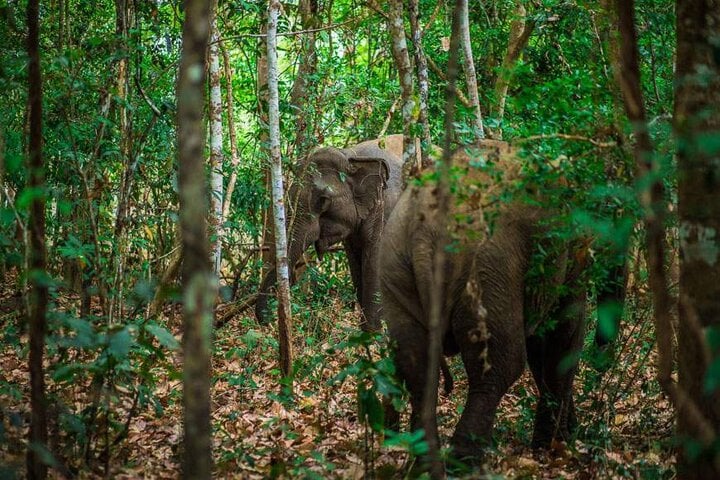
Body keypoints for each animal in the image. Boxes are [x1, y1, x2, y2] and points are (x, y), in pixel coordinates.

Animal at [256, 133, 410, 332]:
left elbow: (375, 261)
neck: (351, 156)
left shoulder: (387, 208)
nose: (268, 322)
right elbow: (355, 262)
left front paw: (373, 334)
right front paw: (365, 333)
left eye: (323, 201)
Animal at [380, 140, 588, 468]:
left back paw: (424, 466)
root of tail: (424, 231)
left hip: (394, 264)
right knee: (500, 366)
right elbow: (564, 336)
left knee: (415, 364)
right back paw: (465, 463)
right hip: (486, 271)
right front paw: (554, 451)